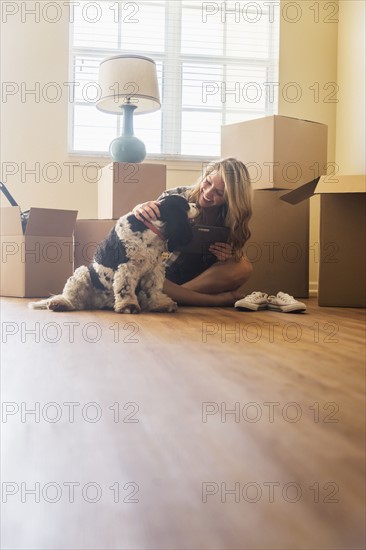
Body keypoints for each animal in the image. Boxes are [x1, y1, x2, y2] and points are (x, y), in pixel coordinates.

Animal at [30, 195, 199, 314]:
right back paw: (60, 303)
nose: (196, 205)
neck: (150, 230)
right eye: (186, 205)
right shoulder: (127, 266)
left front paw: (162, 304)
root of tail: (99, 303)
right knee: (73, 300)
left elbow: (154, 289)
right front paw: (129, 306)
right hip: (82, 273)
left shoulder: (155, 269)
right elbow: (125, 288)